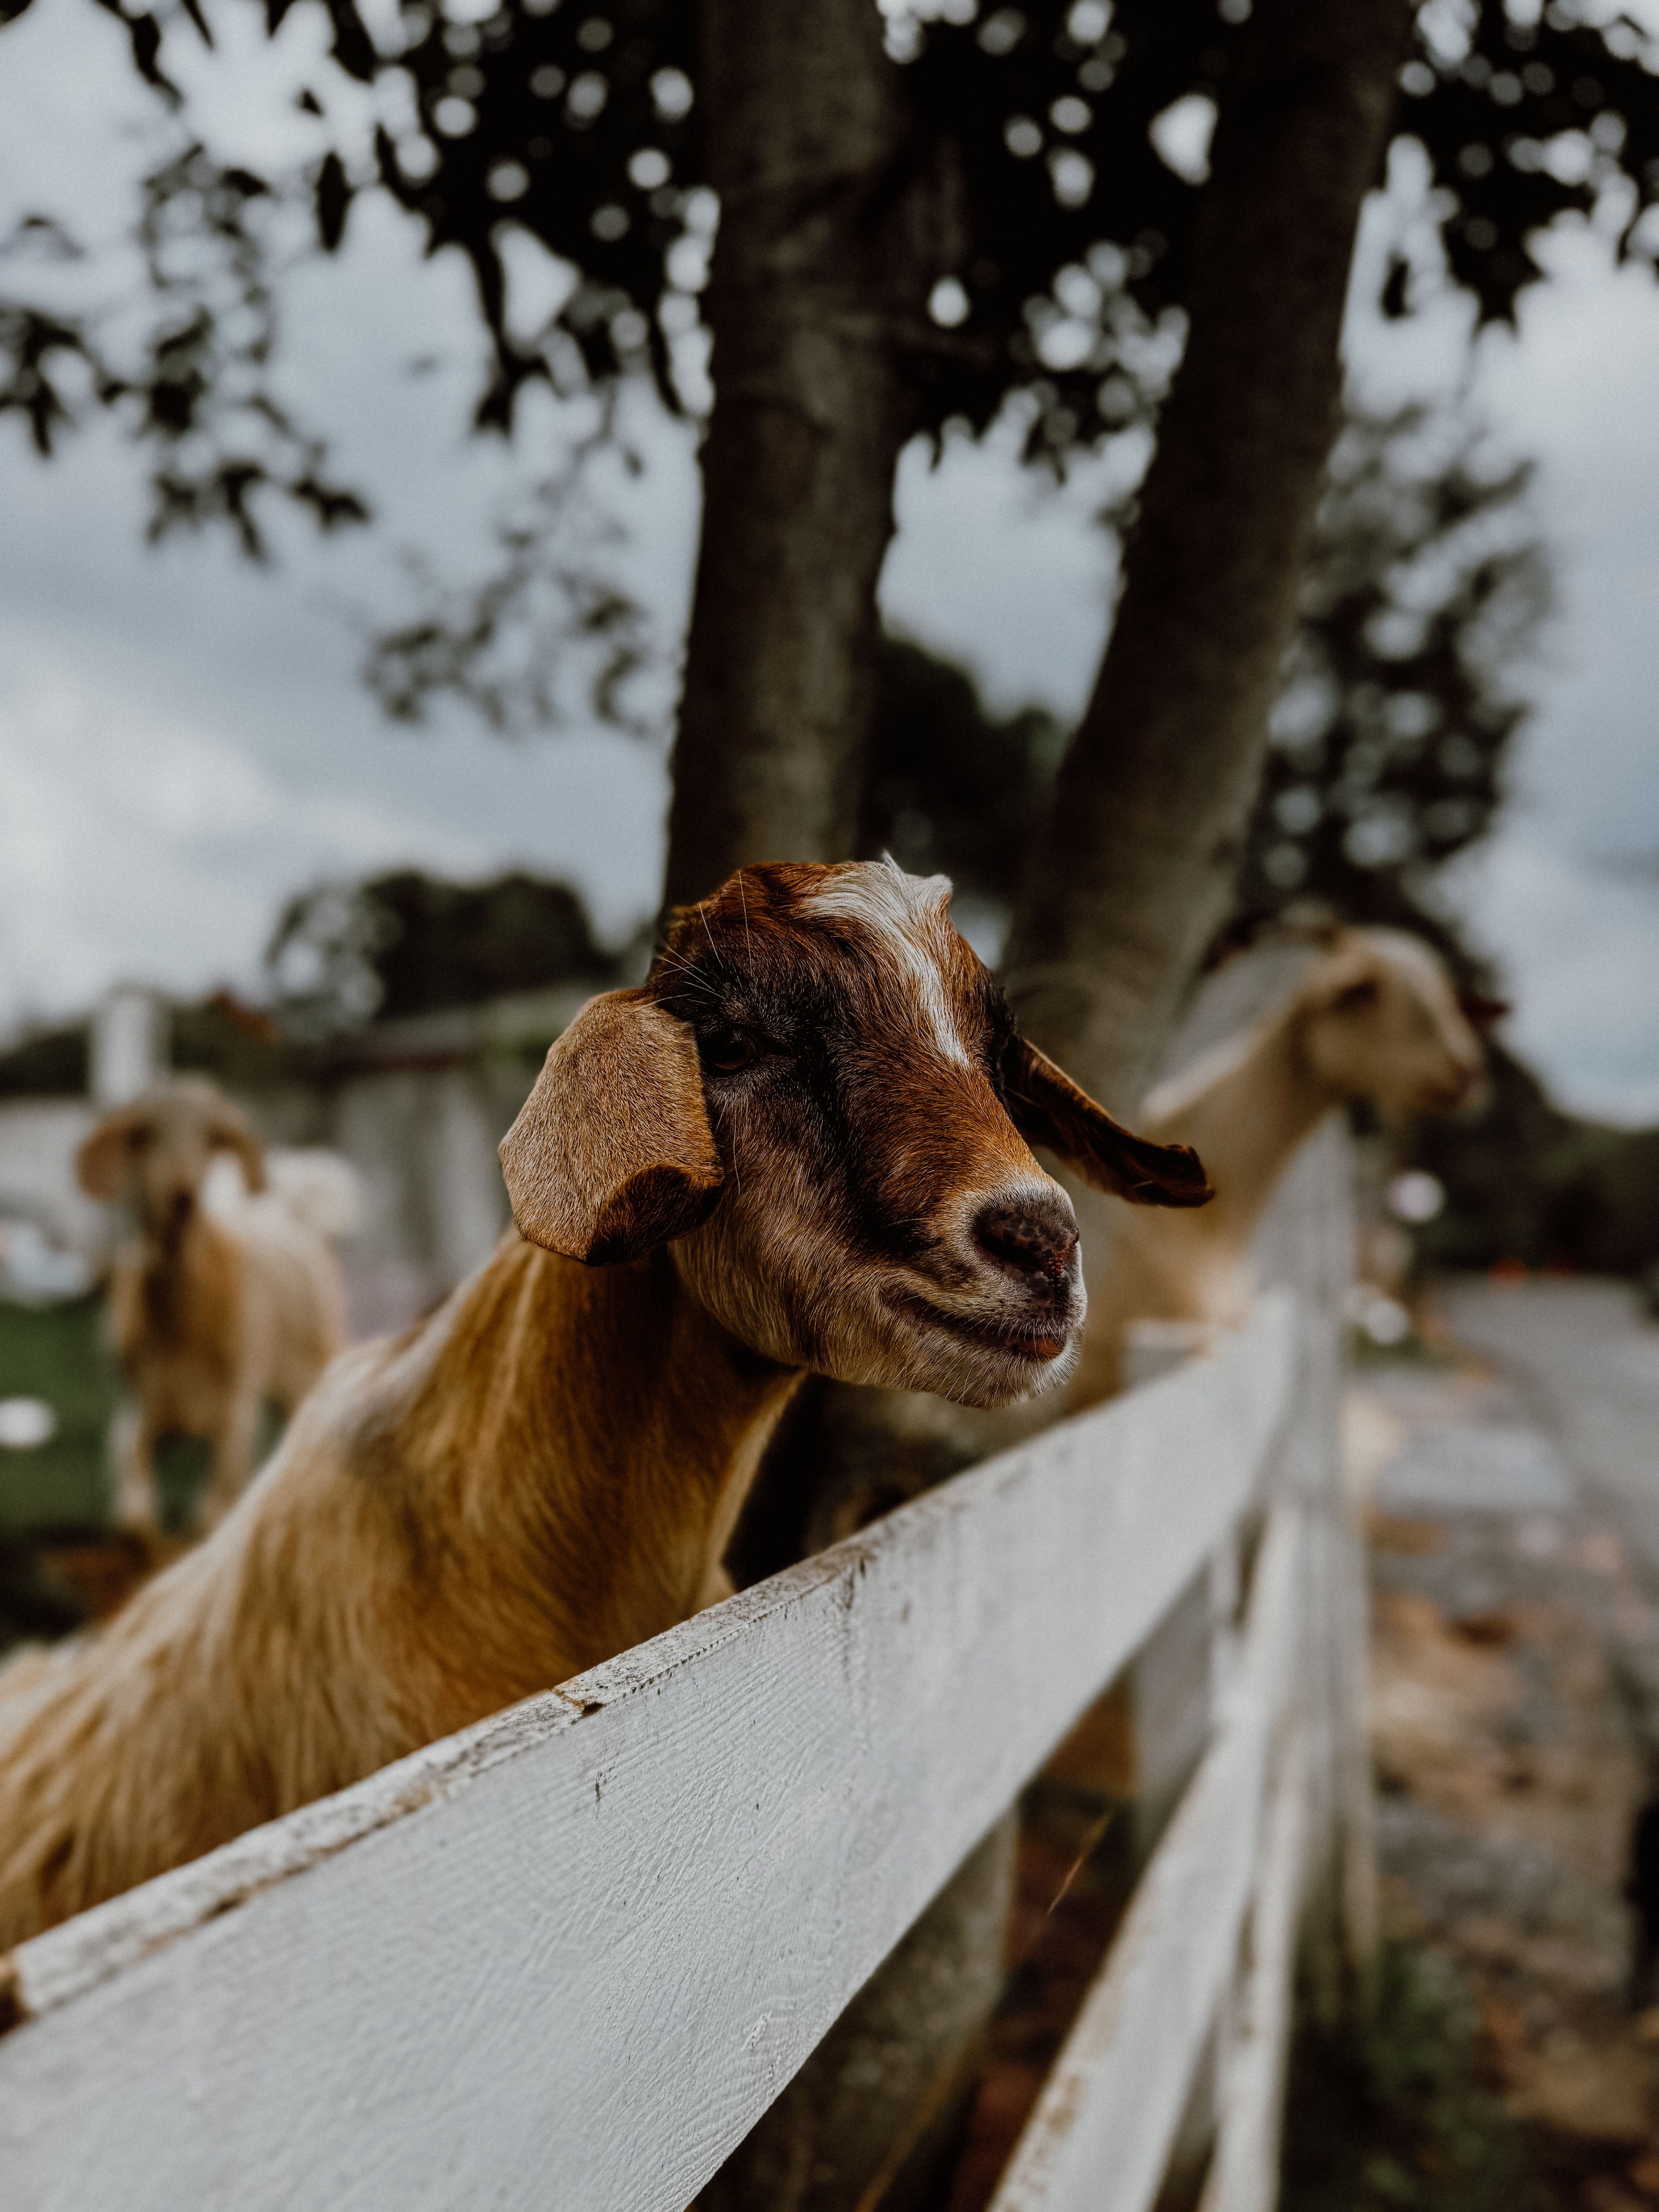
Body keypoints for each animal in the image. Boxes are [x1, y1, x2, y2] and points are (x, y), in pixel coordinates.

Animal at [76, 1080, 349, 1535]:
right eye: (142, 1136)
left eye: (211, 1139)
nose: (181, 1196)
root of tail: (291, 1213)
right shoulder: (136, 1412)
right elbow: (137, 1512)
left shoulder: (235, 1413)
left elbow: (212, 1510)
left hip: (307, 1372)